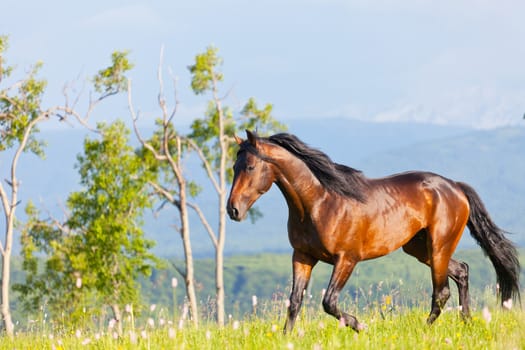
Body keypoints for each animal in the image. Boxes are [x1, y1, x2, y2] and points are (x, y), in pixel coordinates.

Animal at [226, 130, 520, 332]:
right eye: (233, 167)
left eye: (250, 166)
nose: (233, 210)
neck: (320, 203)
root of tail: (455, 186)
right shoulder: (302, 256)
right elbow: (295, 301)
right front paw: (287, 337)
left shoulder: (347, 259)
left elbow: (329, 302)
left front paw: (360, 326)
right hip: (420, 249)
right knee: (462, 271)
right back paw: (466, 322)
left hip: (438, 247)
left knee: (442, 292)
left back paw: (424, 330)